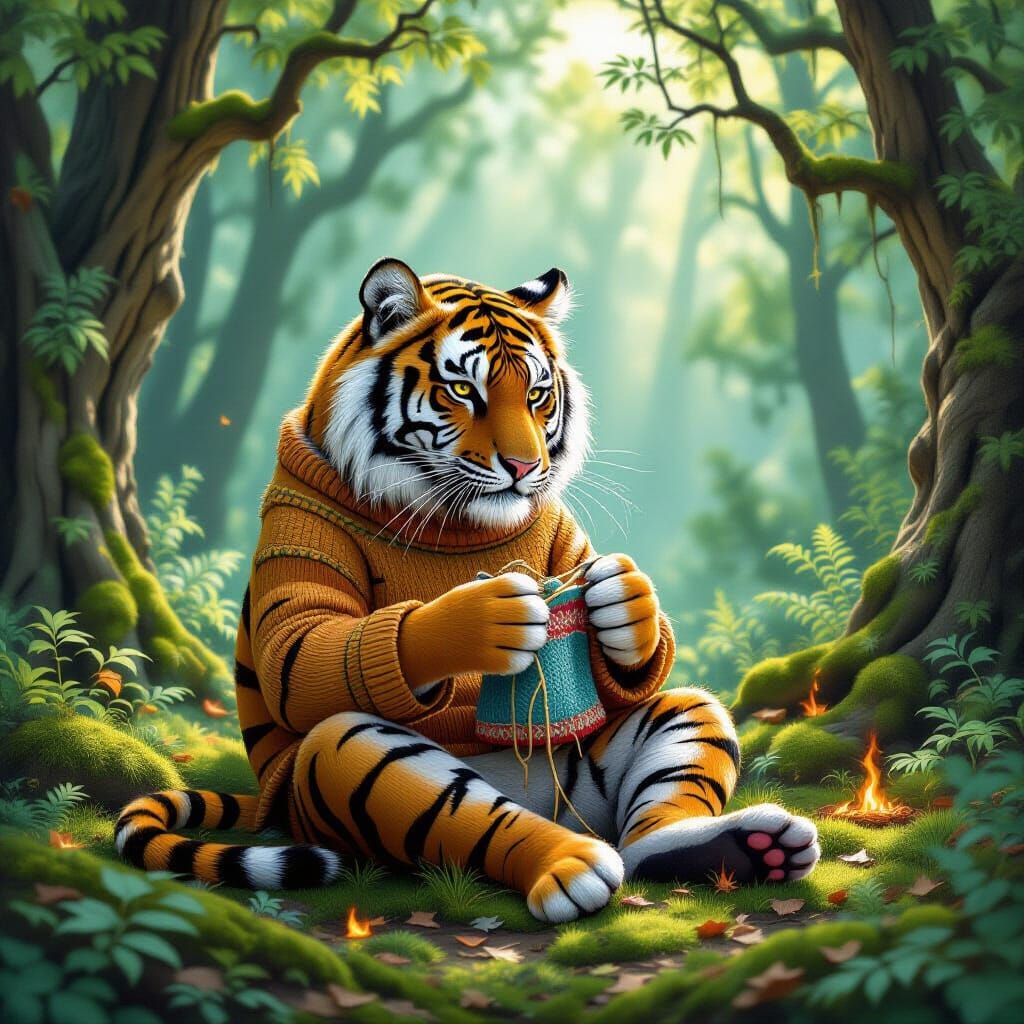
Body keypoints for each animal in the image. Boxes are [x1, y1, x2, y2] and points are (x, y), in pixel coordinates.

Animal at [117, 259, 819, 921]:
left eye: (537, 394)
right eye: (462, 390)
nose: (526, 466)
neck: (456, 521)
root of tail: (542, 801)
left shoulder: (564, 536)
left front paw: (624, 601)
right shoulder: (298, 523)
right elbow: (302, 652)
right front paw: (480, 619)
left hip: (644, 736)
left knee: (675, 737)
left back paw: (736, 848)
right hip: (349, 763)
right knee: (448, 798)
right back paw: (568, 866)